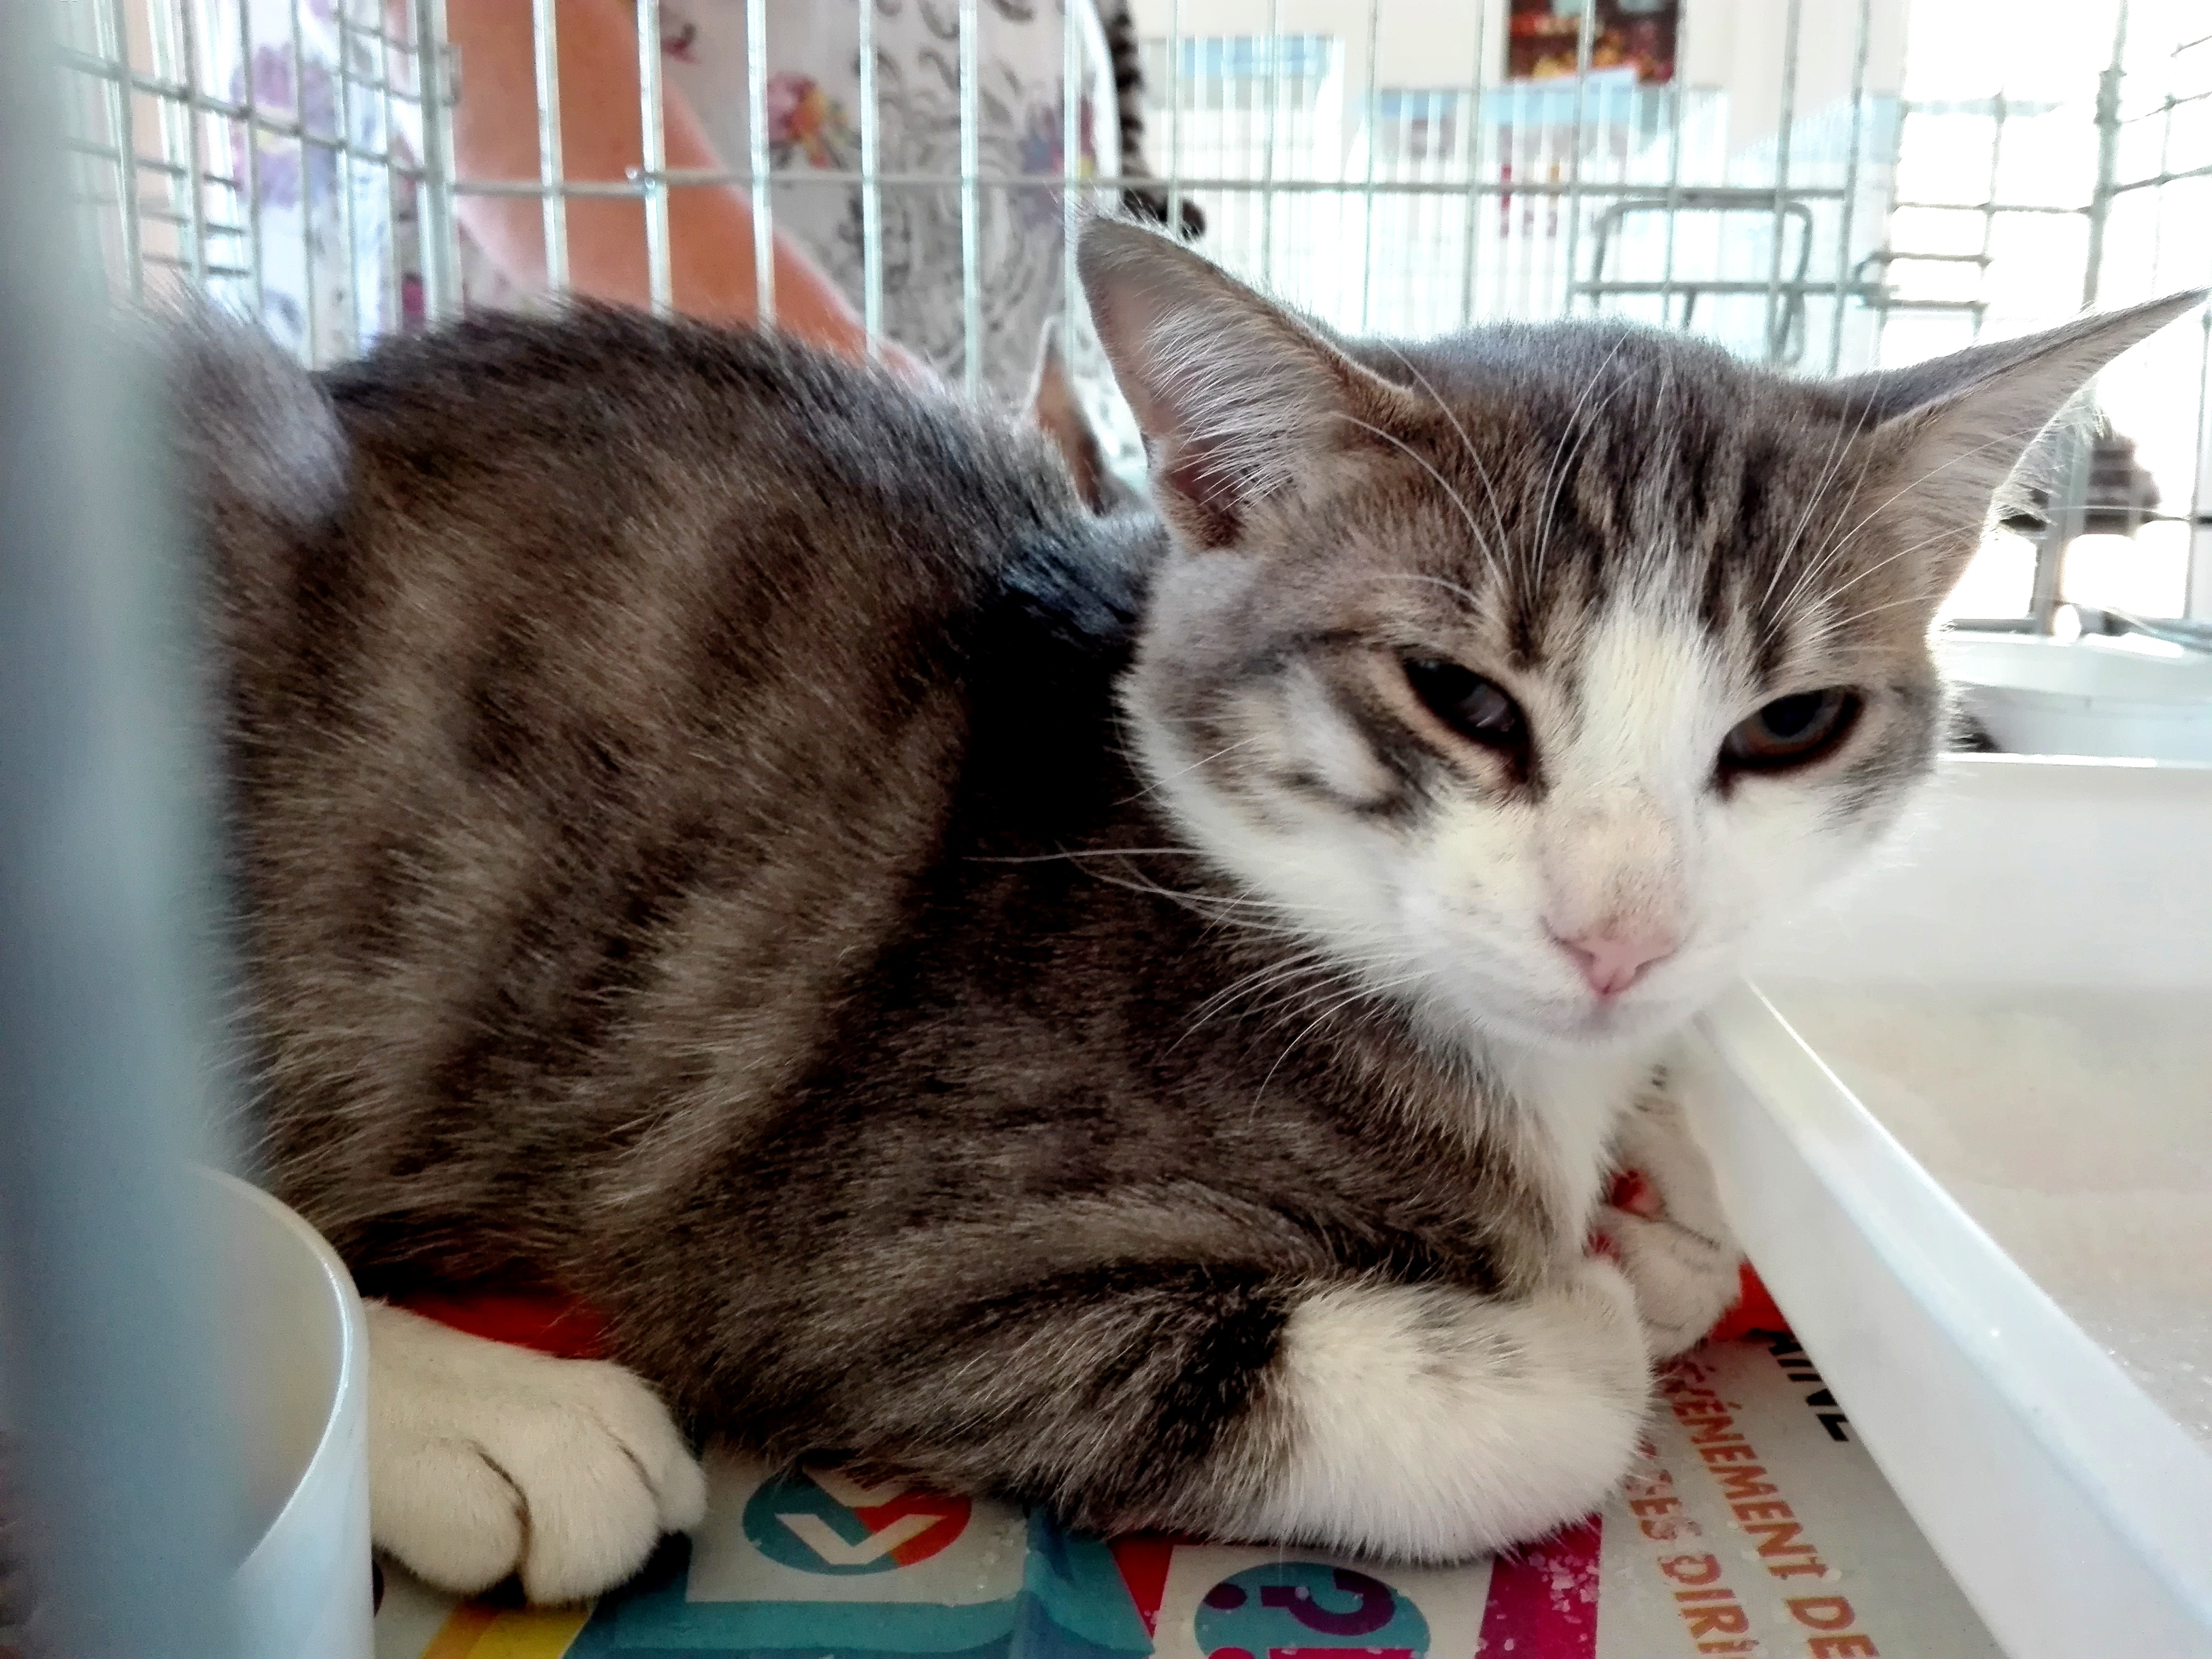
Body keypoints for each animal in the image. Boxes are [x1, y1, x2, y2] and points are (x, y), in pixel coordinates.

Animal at [174, 221, 2201, 1605]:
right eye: (1461, 700)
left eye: (1791, 727)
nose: (1618, 935)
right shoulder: (851, 1253)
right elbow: (1497, 1403)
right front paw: (1583, 1308)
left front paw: (1665, 1198)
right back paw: (478, 1417)